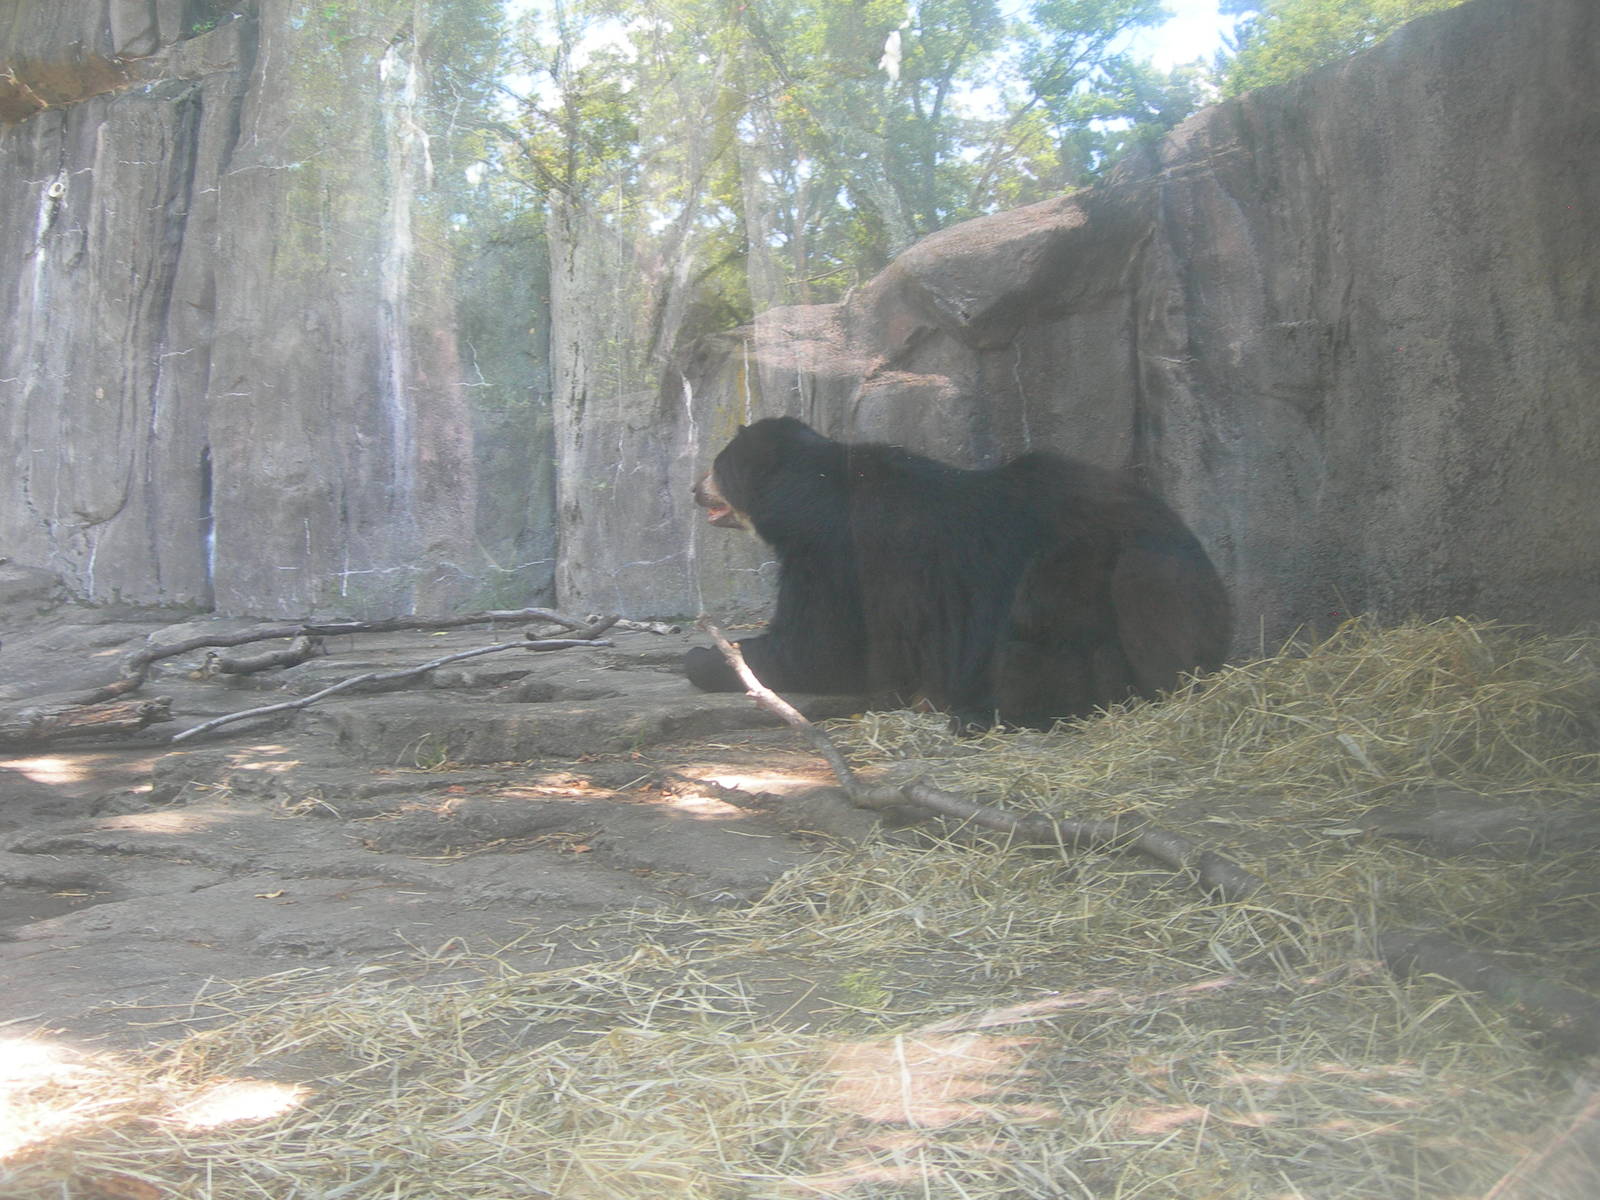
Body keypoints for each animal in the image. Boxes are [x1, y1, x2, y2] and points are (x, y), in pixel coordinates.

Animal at [684, 417, 1231, 730]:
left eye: (716, 465)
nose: (693, 488)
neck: (808, 490)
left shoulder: (838, 552)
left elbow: (822, 648)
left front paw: (703, 658)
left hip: (1092, 573)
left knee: (1041, 636)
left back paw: (988, 714)